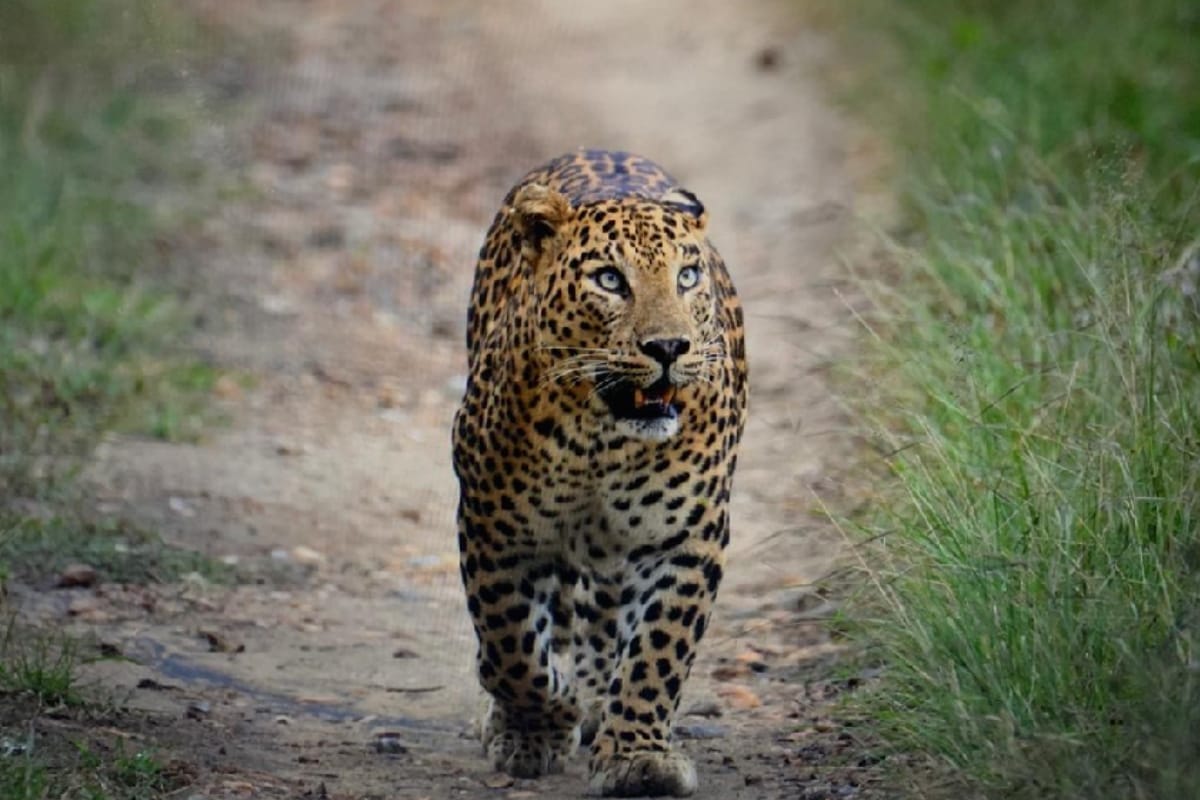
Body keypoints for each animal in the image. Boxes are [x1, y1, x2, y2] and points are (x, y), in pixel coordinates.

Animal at [453, 148, 747, 797]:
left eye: (687, 277)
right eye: (609, 280)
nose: (670, 347)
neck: (601, 442)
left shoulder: (688, 538)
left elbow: (658, 651)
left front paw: (638, 757)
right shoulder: (495, 524)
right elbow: (510, 647)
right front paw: (536, 725)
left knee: (605, 615)